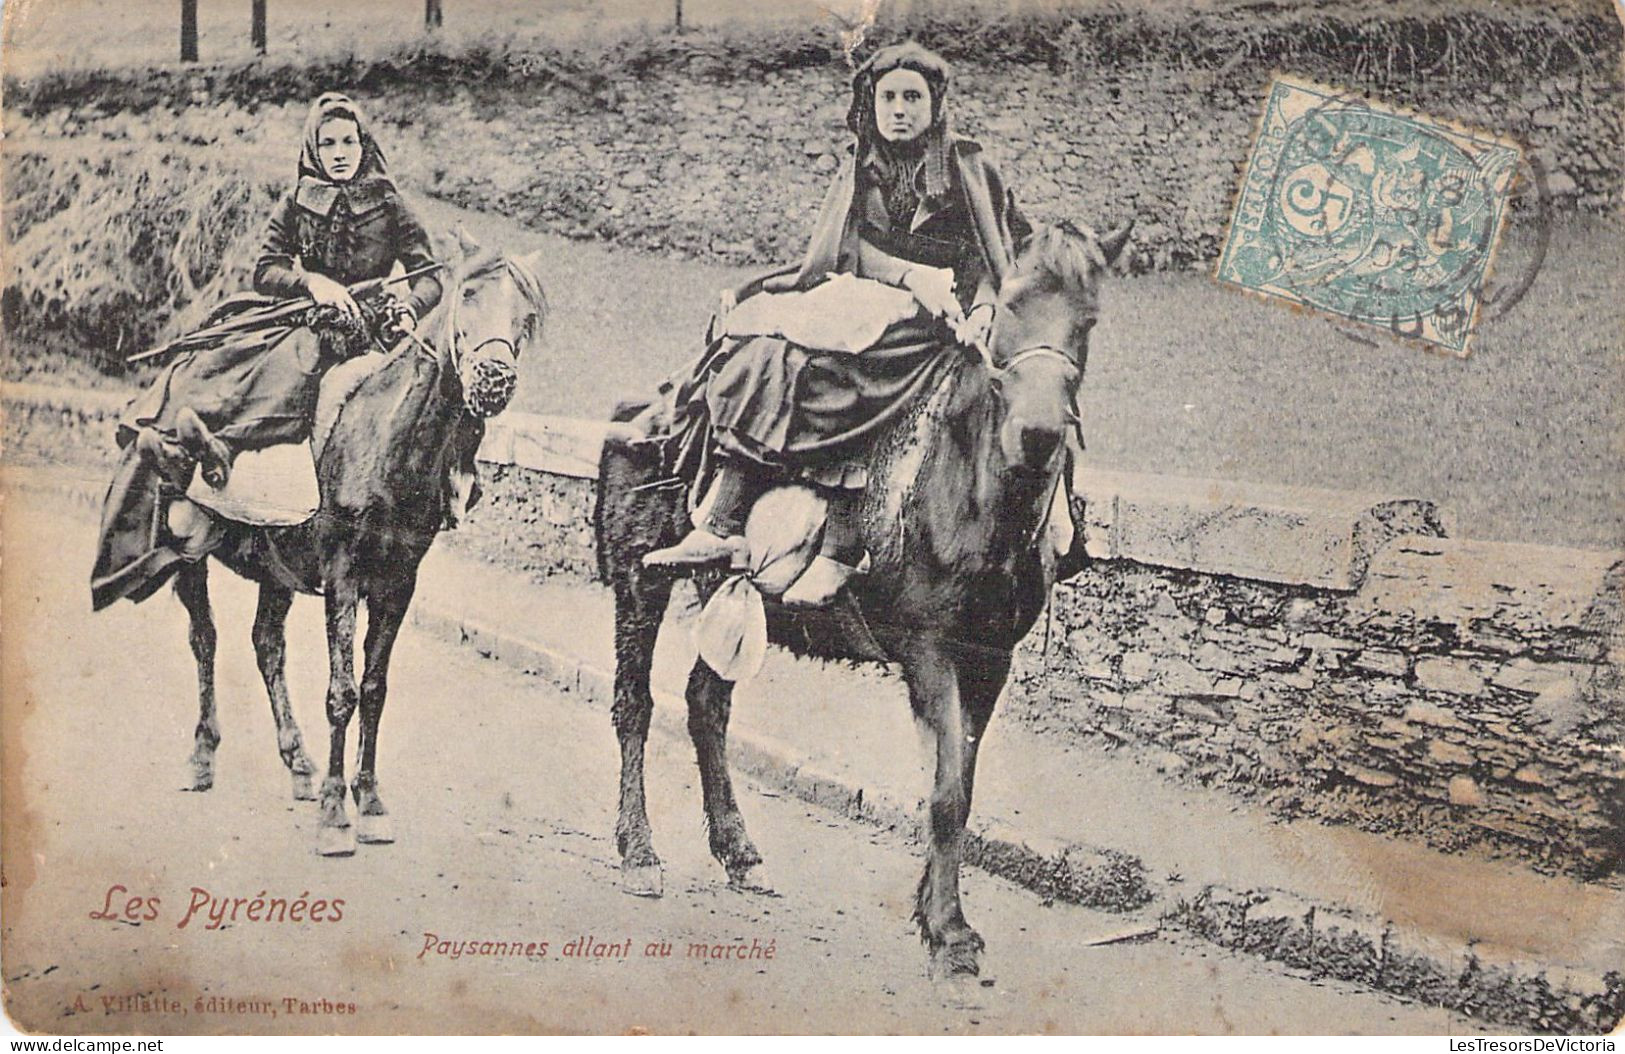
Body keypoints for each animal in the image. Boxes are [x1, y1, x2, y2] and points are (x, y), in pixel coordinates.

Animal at [165, 232, 549, 857]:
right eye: (468, 293)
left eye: (528, 316)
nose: (493, 380)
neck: (389, 443)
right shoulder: (342, 578)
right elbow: (341, 692)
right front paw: (333, 814)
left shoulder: (397, 584)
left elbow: (373, 689)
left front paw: (368, 803)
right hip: (188, 549)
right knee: (205, 639)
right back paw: (203, 756)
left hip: (277, 570)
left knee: (266, 644)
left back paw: (297, 762)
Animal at [594, 217, 1131, 974]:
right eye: (1009, 309)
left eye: (1087, 321)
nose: (1038, 435)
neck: (967, 490)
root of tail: (652, 404)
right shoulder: (927, 652)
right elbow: (943, 792)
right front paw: (949, 933)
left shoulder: (990, 660)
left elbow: (959, 786)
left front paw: (934, 914)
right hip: (640, 579)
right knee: (634, 704)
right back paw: (639, 852)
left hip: (735, 596)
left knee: (705, 705)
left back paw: (739, 851)